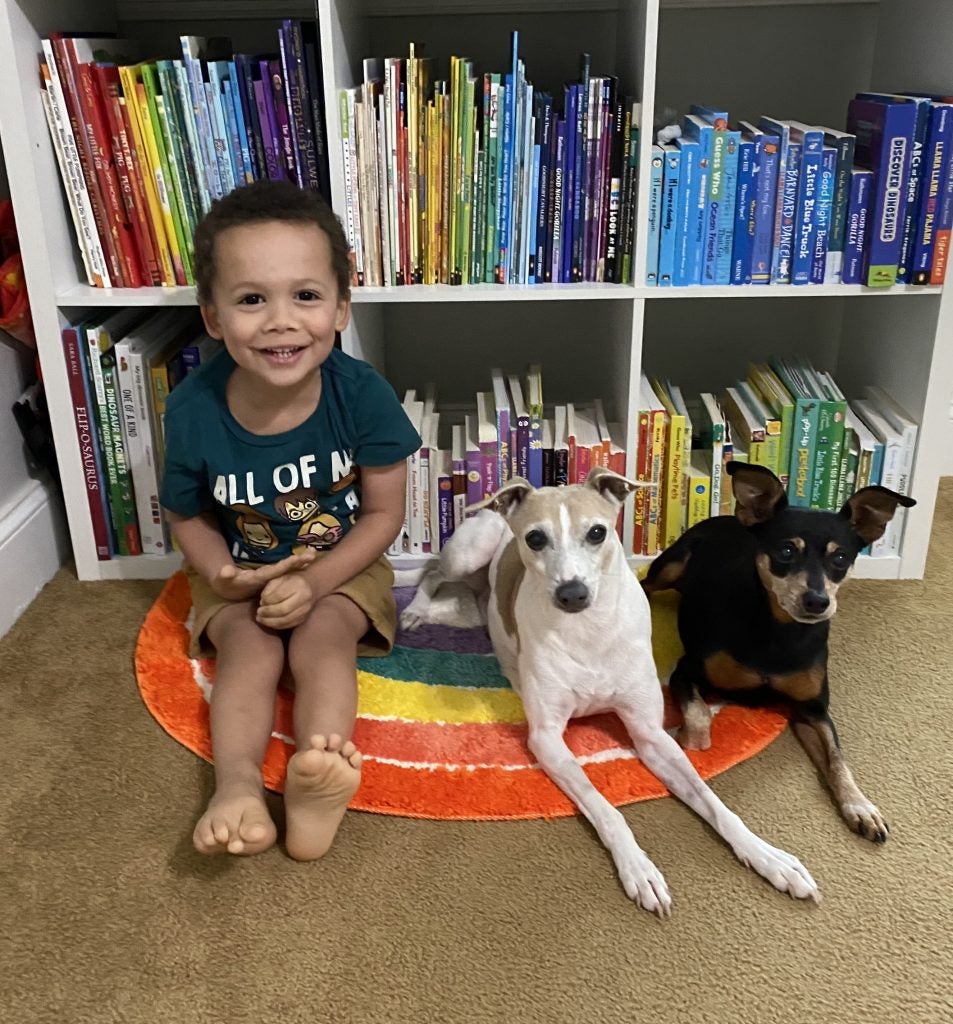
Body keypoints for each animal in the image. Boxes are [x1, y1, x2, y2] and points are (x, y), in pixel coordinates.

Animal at [403, 468, 818, 917]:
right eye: (535, 538)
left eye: (598, 532)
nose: (572, 594)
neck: (589, 630)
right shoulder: (547, 738)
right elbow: (606, 809)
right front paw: (639, 870)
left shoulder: (649, 732)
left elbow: (714, 803)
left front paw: (769, 857)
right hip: (469, 551)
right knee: (432, 571)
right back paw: (414, 610)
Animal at [642, 462, 917, 839]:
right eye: (786, 551)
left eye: (841, 558)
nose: (817, 601)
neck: (779, 630)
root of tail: (732, 517)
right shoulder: (687, 671)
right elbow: (698, 722)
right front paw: (686, 738)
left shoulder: (811, 708)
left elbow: (837, 759)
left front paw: (860, 806)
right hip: (672, 564)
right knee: (644, 585)